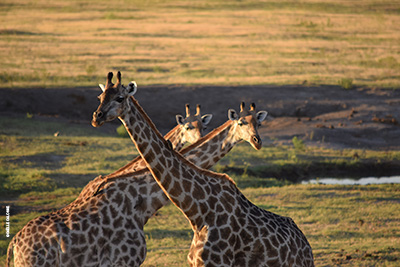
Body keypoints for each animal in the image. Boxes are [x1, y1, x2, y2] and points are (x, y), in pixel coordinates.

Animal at [5, 80, 266, 267]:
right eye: (241, 123)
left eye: (259, 123)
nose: (257, 141)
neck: (142, 198)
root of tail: (13, 246)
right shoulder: (124, 260)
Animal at [92, 72, 314, 266]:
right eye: (100, 97)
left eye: (120, 98)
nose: (97, 116)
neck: (197, 212)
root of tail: (306, 246)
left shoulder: (218, 263)